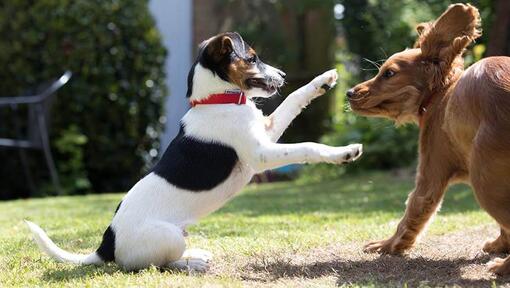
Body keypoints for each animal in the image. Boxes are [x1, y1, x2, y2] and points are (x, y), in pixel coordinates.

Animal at [24, 32, 362, 272]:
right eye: (252, 58)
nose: (282, 76)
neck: (218, 100)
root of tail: (106, 244)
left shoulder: (266, 130)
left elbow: (293, 100)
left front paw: (323, 81)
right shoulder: (260, 154)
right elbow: (308, 147)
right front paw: (344, 152)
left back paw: (195, 255)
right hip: (167, 237)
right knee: (154, 265)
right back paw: (193, 262)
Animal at [346, 3, 510, 274]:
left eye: (389, 73)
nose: (349, 93)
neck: (441, 93)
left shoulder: (430, 174)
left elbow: (411, 212)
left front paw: (387, 245)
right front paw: (499, 244)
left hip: (485, 182)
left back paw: (502, 268)